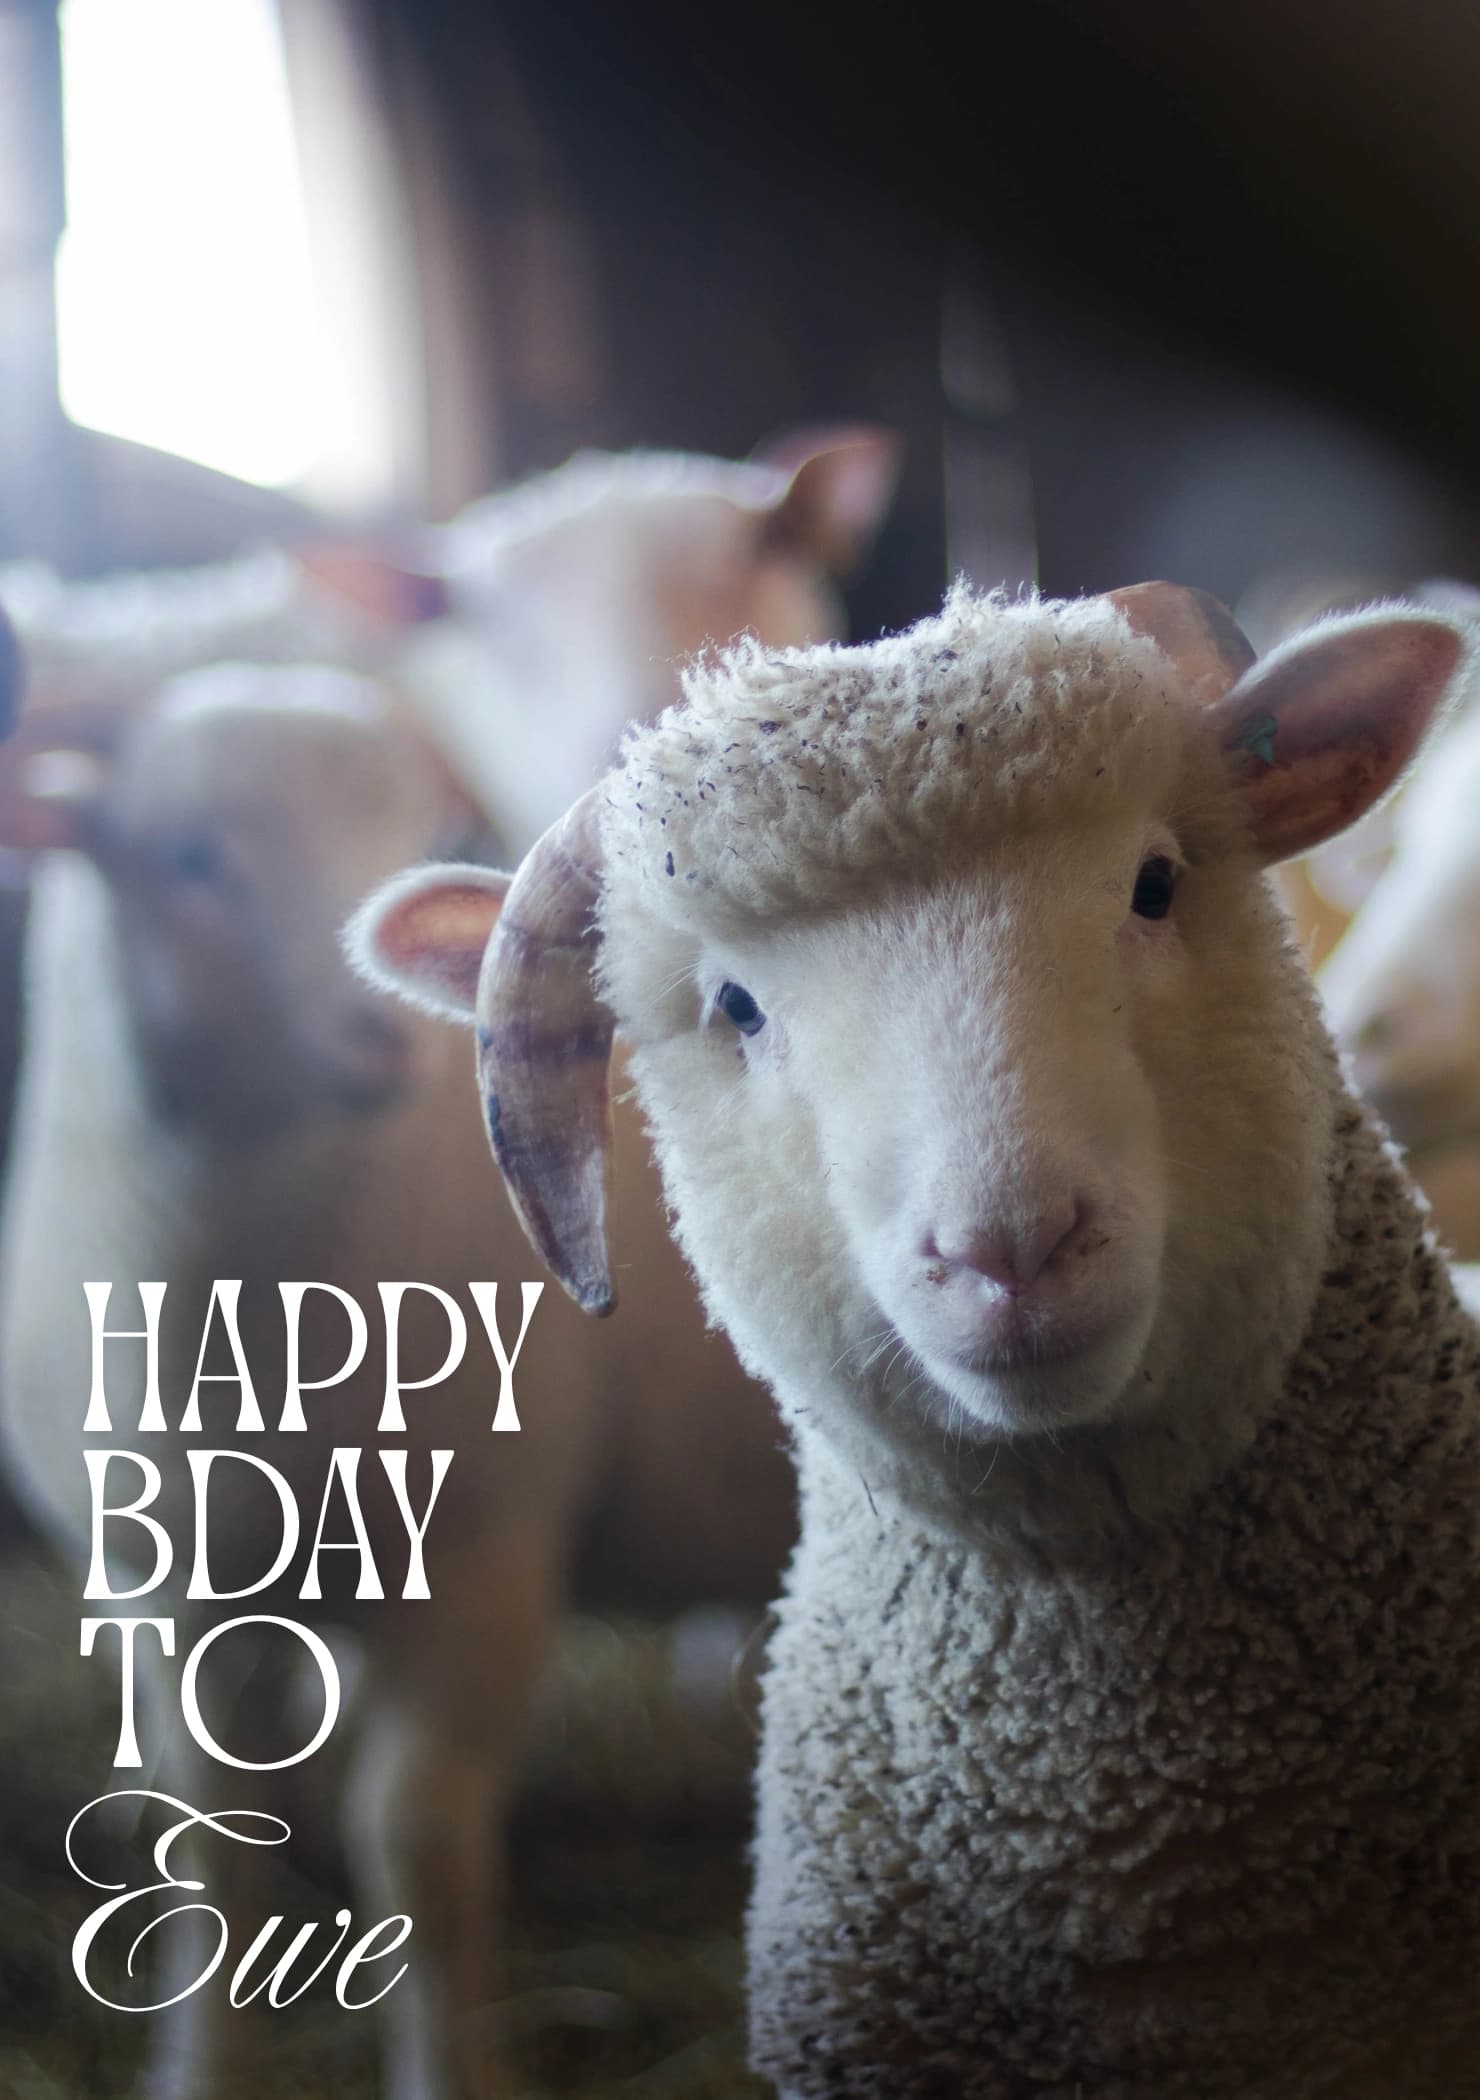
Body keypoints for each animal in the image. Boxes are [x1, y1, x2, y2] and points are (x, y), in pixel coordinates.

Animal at [0, 664, 790, 2100]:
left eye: (423, 829)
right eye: (190, 859)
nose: (385, 1038)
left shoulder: (488, 1553)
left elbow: (414, 1840)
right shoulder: (162, 1584)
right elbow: (209, 1839)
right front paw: (199, 2071)